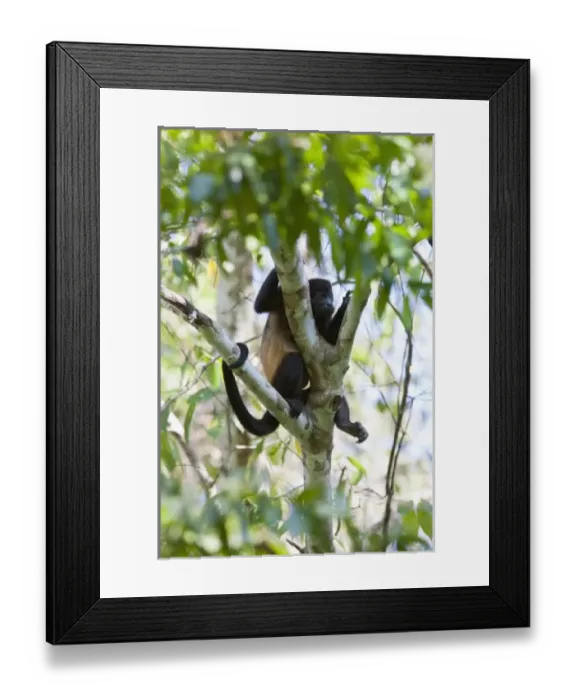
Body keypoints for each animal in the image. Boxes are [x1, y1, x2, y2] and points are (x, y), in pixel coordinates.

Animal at [221, 268, 368, 443]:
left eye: (330, 297)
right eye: (322, 295)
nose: (329, 303)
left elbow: (330, 341)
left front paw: (345, 305)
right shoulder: (282, 298)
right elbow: (261, 304)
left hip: (306, 395)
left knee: (336, 394)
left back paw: (346, 424)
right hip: (276, 386)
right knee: (294, 361)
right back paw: (289, 400)